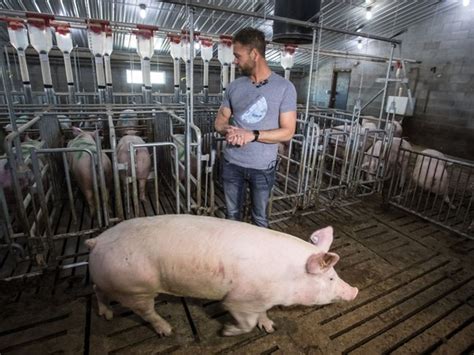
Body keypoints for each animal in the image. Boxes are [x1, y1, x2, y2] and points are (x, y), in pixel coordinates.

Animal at [86, 216, 360, 338]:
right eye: (331, 278)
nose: (355, 290)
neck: (286, 277)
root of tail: (98, 240)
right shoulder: (240, 299)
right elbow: (244, 319)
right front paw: (227, 331)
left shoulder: (262, 298)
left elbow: (262, 314)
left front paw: (270, 327)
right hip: (136, 287)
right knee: (146, 312)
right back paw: (167, 330)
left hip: (109, 279)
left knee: (97, 291)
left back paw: (106, 315)